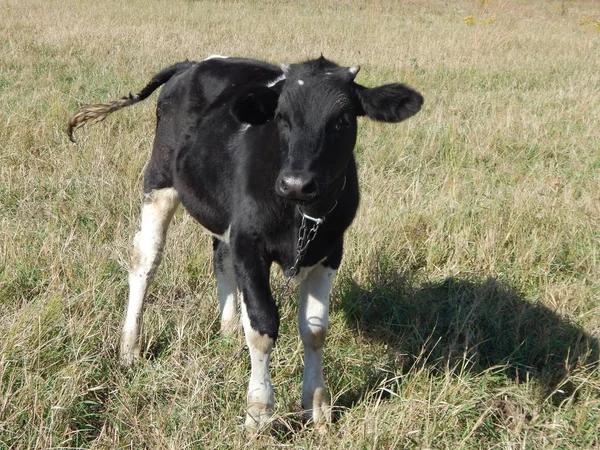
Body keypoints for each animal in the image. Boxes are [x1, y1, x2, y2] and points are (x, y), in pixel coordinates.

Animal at [68, 56, 424, 428]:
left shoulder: (329, 249)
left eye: (342, 119)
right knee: (146, 262)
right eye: (281, 117)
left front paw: (317, 407)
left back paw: (227, 334)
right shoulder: (250, 244)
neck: (297, 212)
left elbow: (315, 330)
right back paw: (129, 348)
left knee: (220, 257)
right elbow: (262, 325)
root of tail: (191, 64)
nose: (296, 183)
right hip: (160, 180)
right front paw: (259, 410)